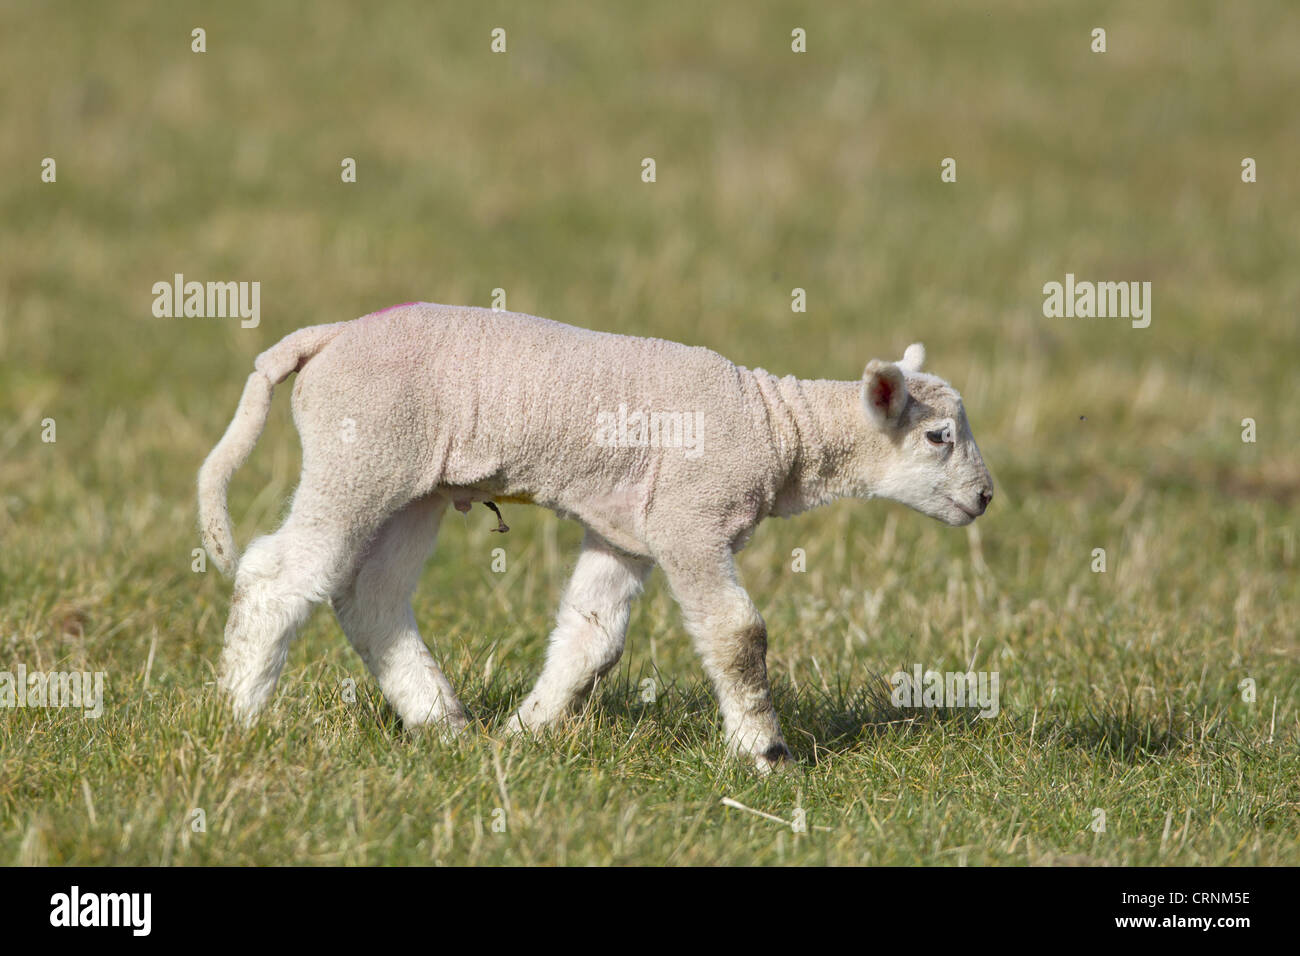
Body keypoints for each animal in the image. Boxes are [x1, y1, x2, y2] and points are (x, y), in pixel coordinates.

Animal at [197, 303, 993, 775]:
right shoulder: (688, 519)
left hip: (414, 488)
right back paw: (241, 716)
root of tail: (329, 335)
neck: (779, 429)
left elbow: (592, 638)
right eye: (939, 437)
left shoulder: (628, 532)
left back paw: (445, 726)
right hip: (360, 453)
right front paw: (767, 755)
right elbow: (738, 634)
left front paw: (527, 733)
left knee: (372, 598)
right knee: (277, 573)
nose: (986, 498)